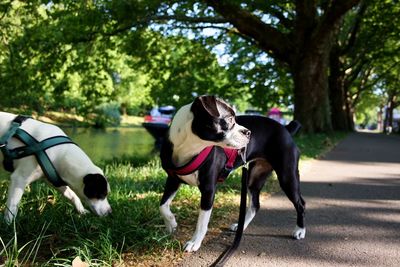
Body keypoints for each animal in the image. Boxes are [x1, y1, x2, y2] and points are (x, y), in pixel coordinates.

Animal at [159, 96, 306, 253]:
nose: (248, 132)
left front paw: (194, 242)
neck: (189, 147)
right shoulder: (172, 180)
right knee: (255, 205)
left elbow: (202, 222)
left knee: (300, 203)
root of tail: (285, 128)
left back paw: (300, 230)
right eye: (229, 119)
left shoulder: (208, 190)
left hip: (287, 176)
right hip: (254, 178)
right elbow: (163, 205)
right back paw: (240, 226)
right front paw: (171, 224)